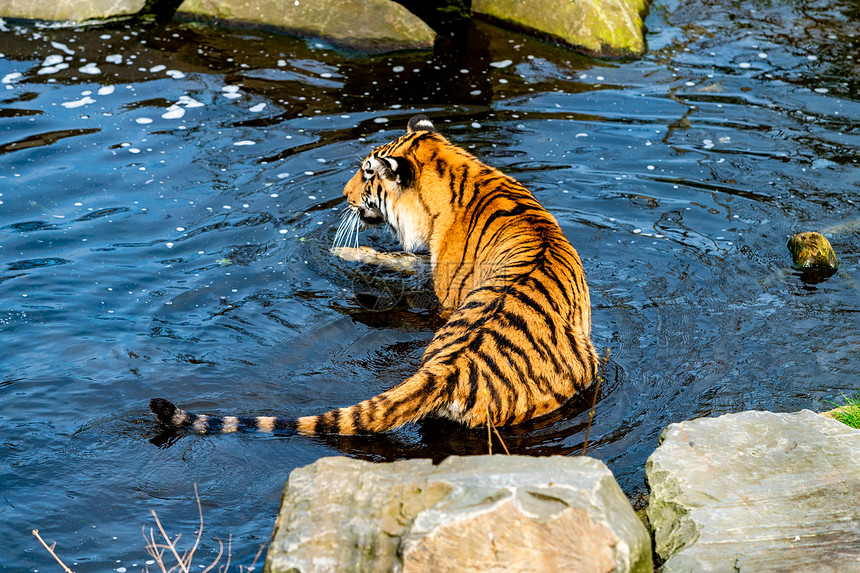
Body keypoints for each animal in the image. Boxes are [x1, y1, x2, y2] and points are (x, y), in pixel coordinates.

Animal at [151, 114, 596, 436]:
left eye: (367, 174)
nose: (344, 195)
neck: (462, 173)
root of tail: (448, 370)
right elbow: (400, 259)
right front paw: (347, 252)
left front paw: (344, 251)